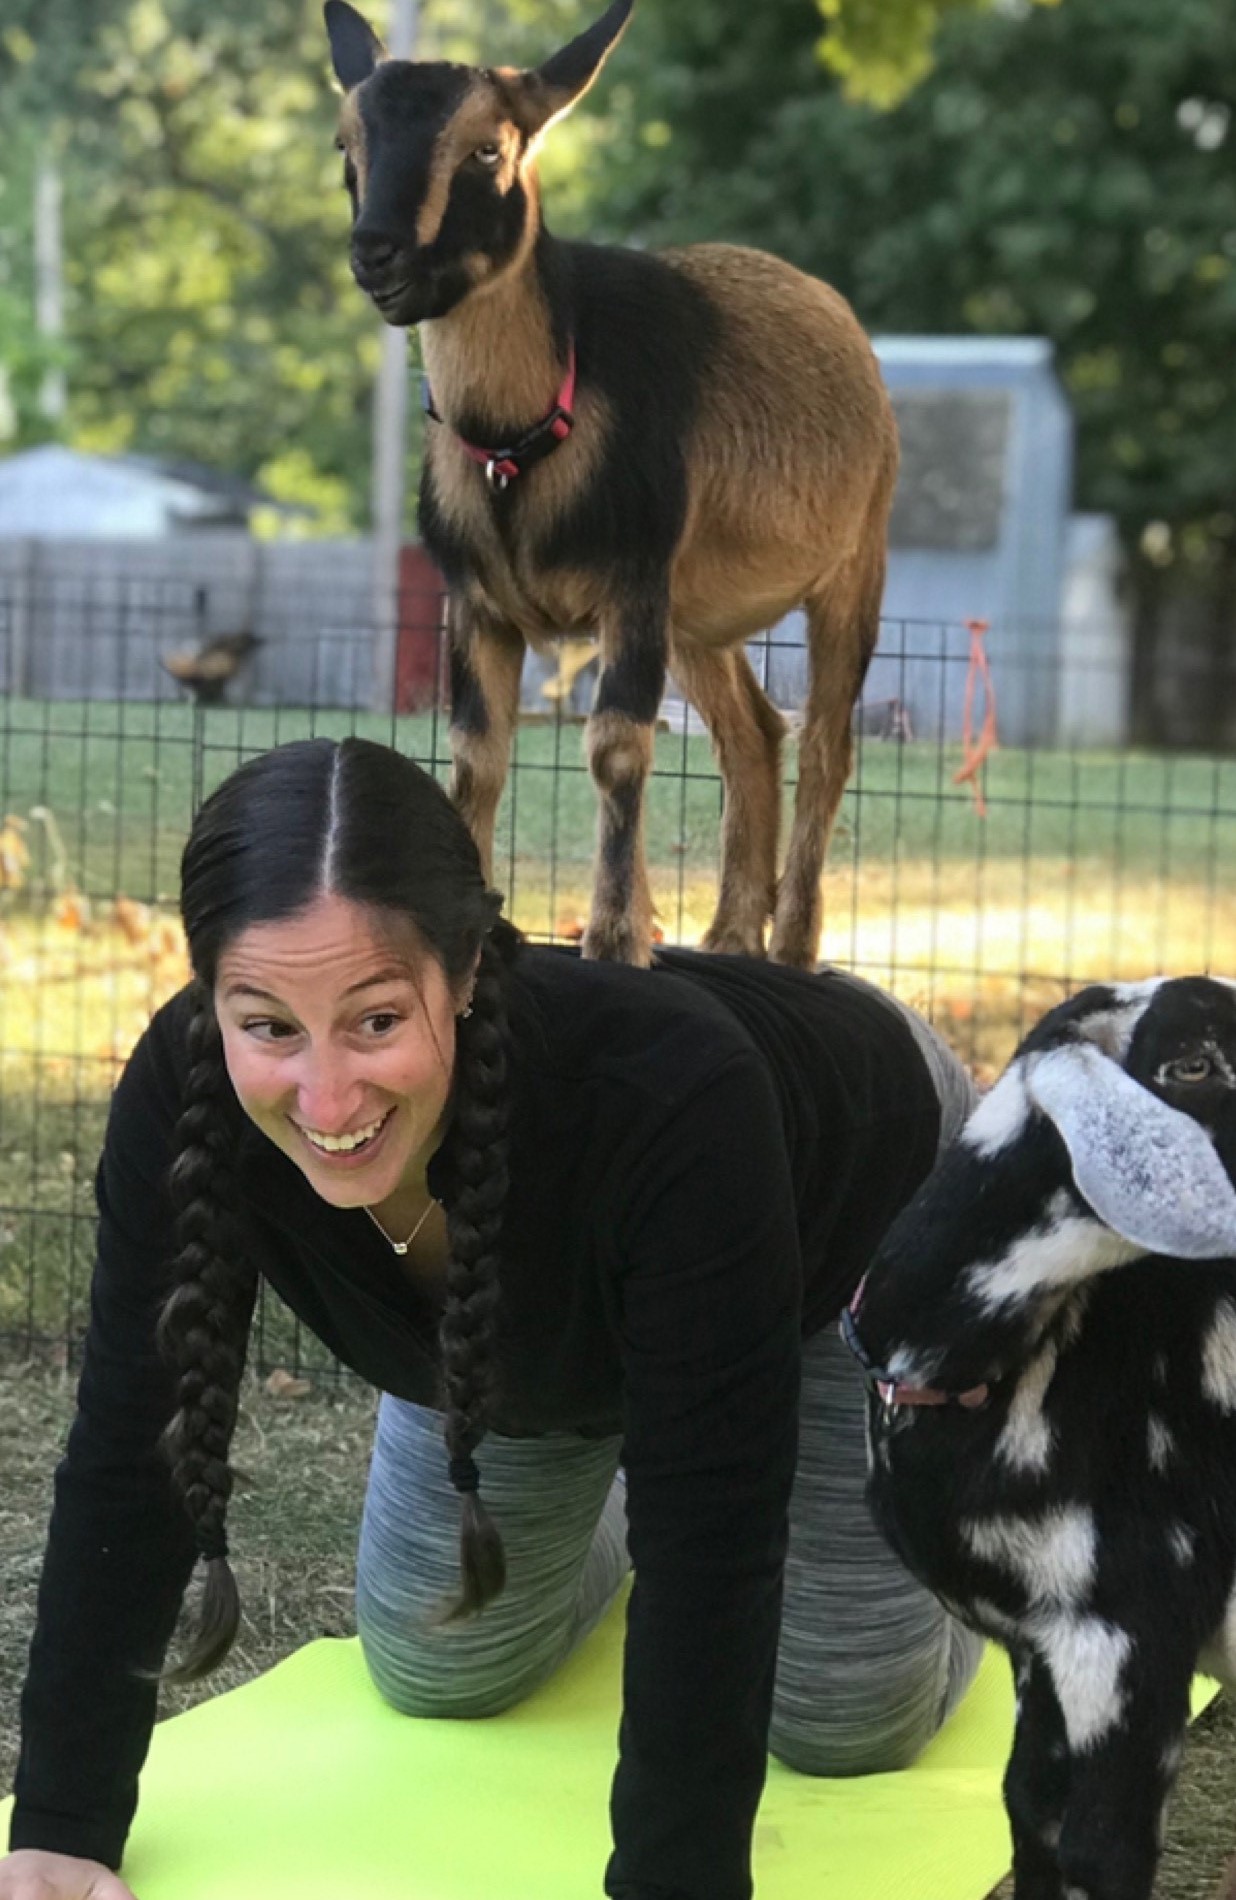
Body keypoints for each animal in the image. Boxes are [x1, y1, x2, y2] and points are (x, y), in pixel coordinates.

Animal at [324, 0, 896, 972]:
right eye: (345, 142)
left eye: (487, 149)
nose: (378, 255)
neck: (518, 442)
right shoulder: (475, 600)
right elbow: (475, 755)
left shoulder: (633, 581)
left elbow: (619, 747)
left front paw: (616, 935)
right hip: (698, 614)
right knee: (752, 735)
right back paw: (730, 933)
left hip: (856, 559)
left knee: (827, 741)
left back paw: (790, 943)